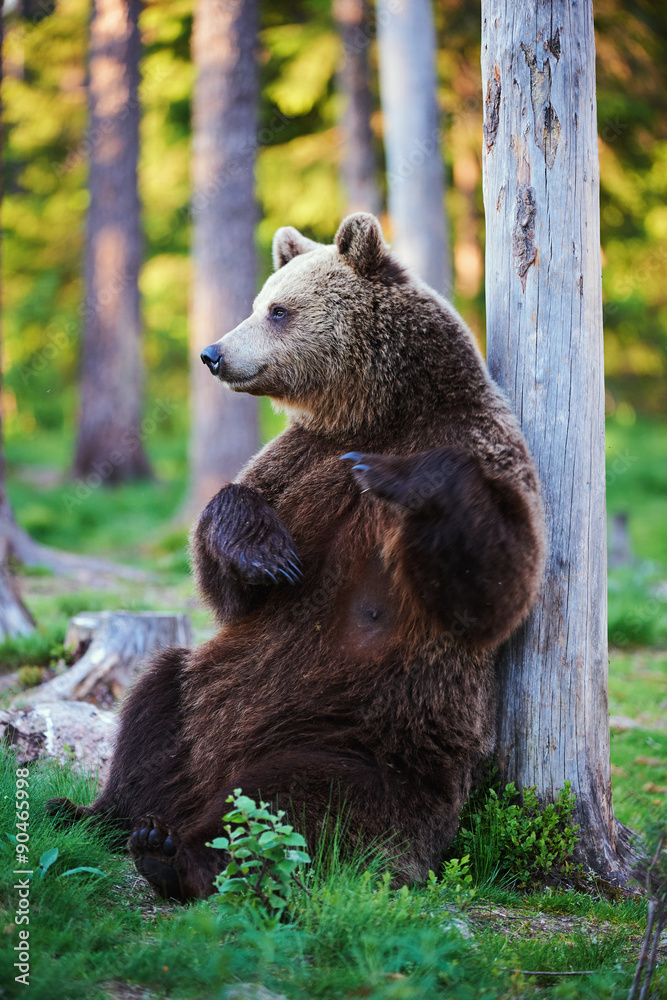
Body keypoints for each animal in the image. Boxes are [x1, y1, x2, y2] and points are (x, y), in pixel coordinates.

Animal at [50, 213, 545, 902]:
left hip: (367, 733)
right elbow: (229, 567)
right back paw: (100, 814)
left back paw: (182, 856)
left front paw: (403, 478)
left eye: (279, 310)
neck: (380, 412)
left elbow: (495, 589)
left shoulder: (484, 444)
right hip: (208, 694)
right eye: (260, 302)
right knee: (154, 713)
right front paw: (267, 557)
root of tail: (212, 778)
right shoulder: (302, 459)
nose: (213, 354)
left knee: (304, 801)